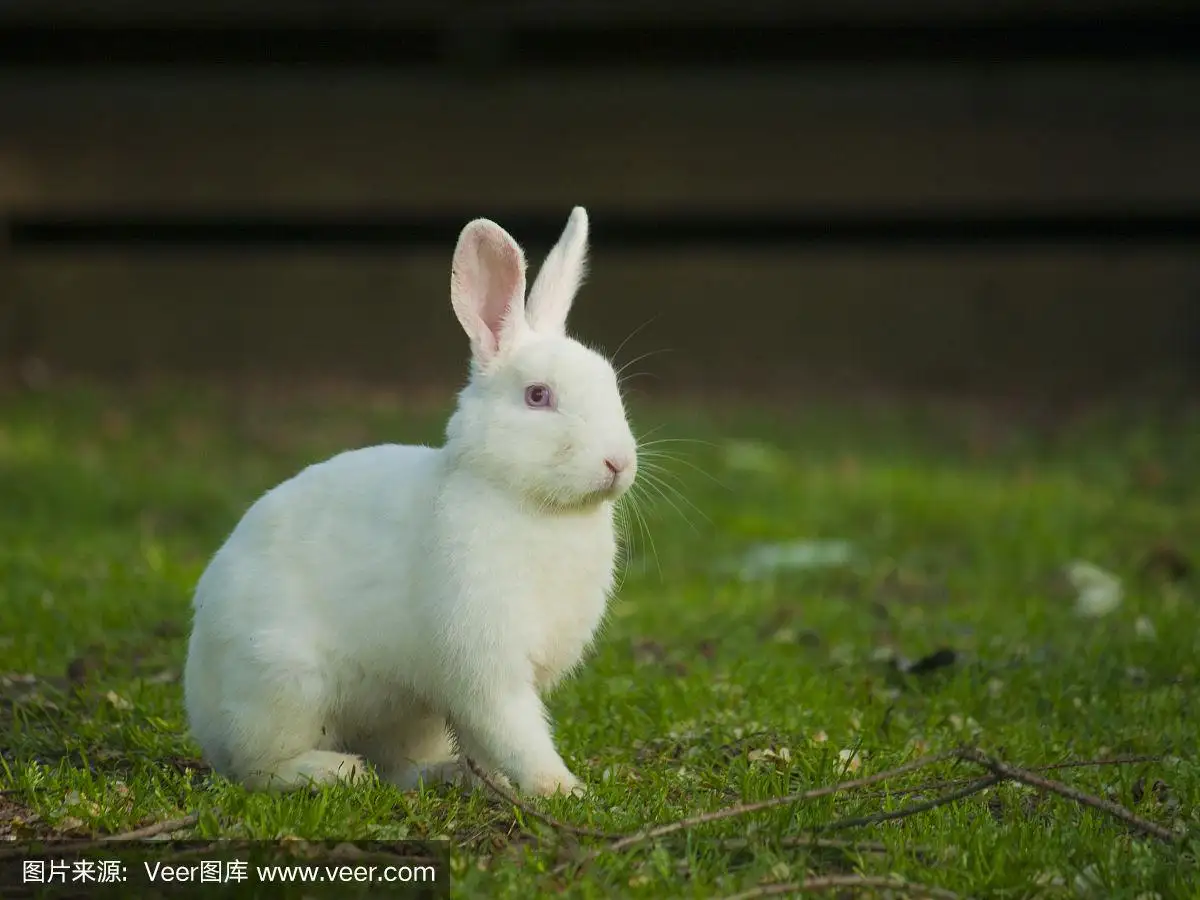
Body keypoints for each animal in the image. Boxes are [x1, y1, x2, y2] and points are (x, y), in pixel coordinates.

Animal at [180, 206, 638, 796]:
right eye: (538, 396)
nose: (618, 463)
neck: (530, 501)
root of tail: (201, 704)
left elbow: (487, 742)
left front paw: (499, 785)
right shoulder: (486, 666)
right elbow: (514, 732)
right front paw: (561, 789)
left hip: (405, 714)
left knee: (397, 765)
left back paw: (443, 775)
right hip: (285, 683)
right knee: (258, 766)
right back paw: (335, 771)